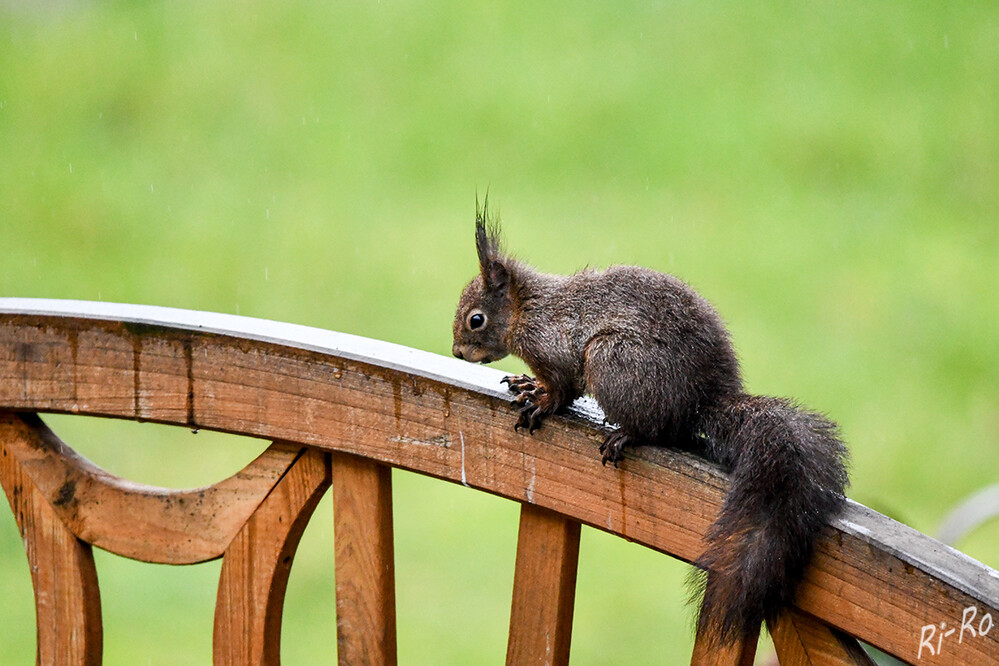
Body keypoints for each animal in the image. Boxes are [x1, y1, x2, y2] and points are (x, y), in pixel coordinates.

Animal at [454, 198, 852, 644]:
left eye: (476, 319)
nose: (457, 352)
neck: (529, 309)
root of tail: (704, 399)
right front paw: (526, 384)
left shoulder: (555, 350)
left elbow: (562, 391)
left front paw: (540, 402)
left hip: (613, 360)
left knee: (660, 429)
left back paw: (626, 436)